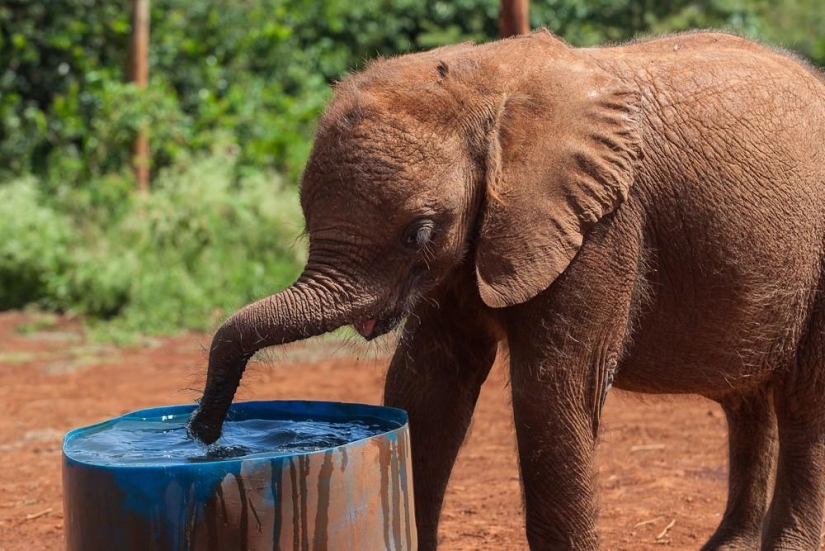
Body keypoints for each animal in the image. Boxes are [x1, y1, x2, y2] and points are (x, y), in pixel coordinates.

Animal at [189, 29, 825, 550]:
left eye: (419, 232)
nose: (205, 432)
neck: (486, 77)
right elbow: (426, 386)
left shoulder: (605, 224)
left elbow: (551, 394)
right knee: (748, 403)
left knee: (803, 403)